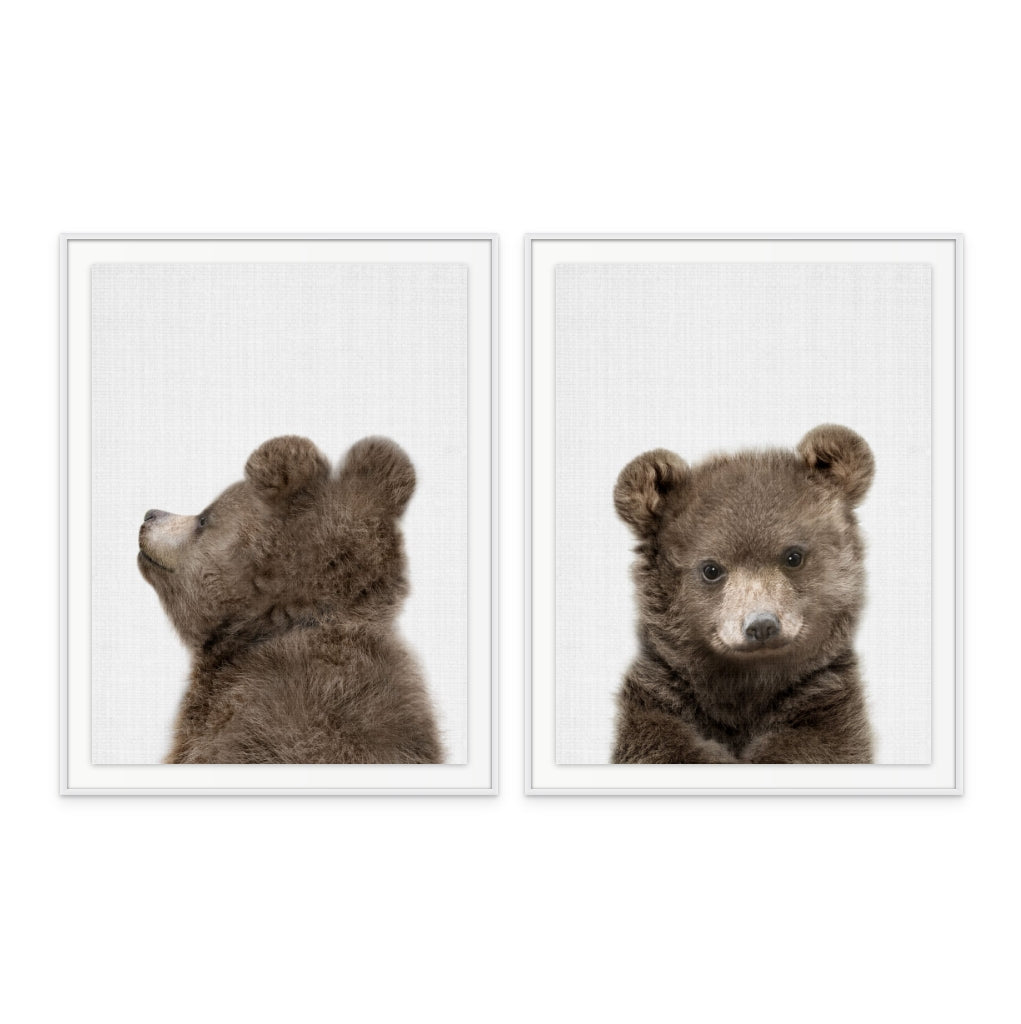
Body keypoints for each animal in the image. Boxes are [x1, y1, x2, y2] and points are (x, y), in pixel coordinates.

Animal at [611, 424, 875, 764]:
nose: (761, 625)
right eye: (711, 569)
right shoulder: (660, 700)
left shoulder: (824, 704)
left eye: (793, 556)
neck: (746, 687)